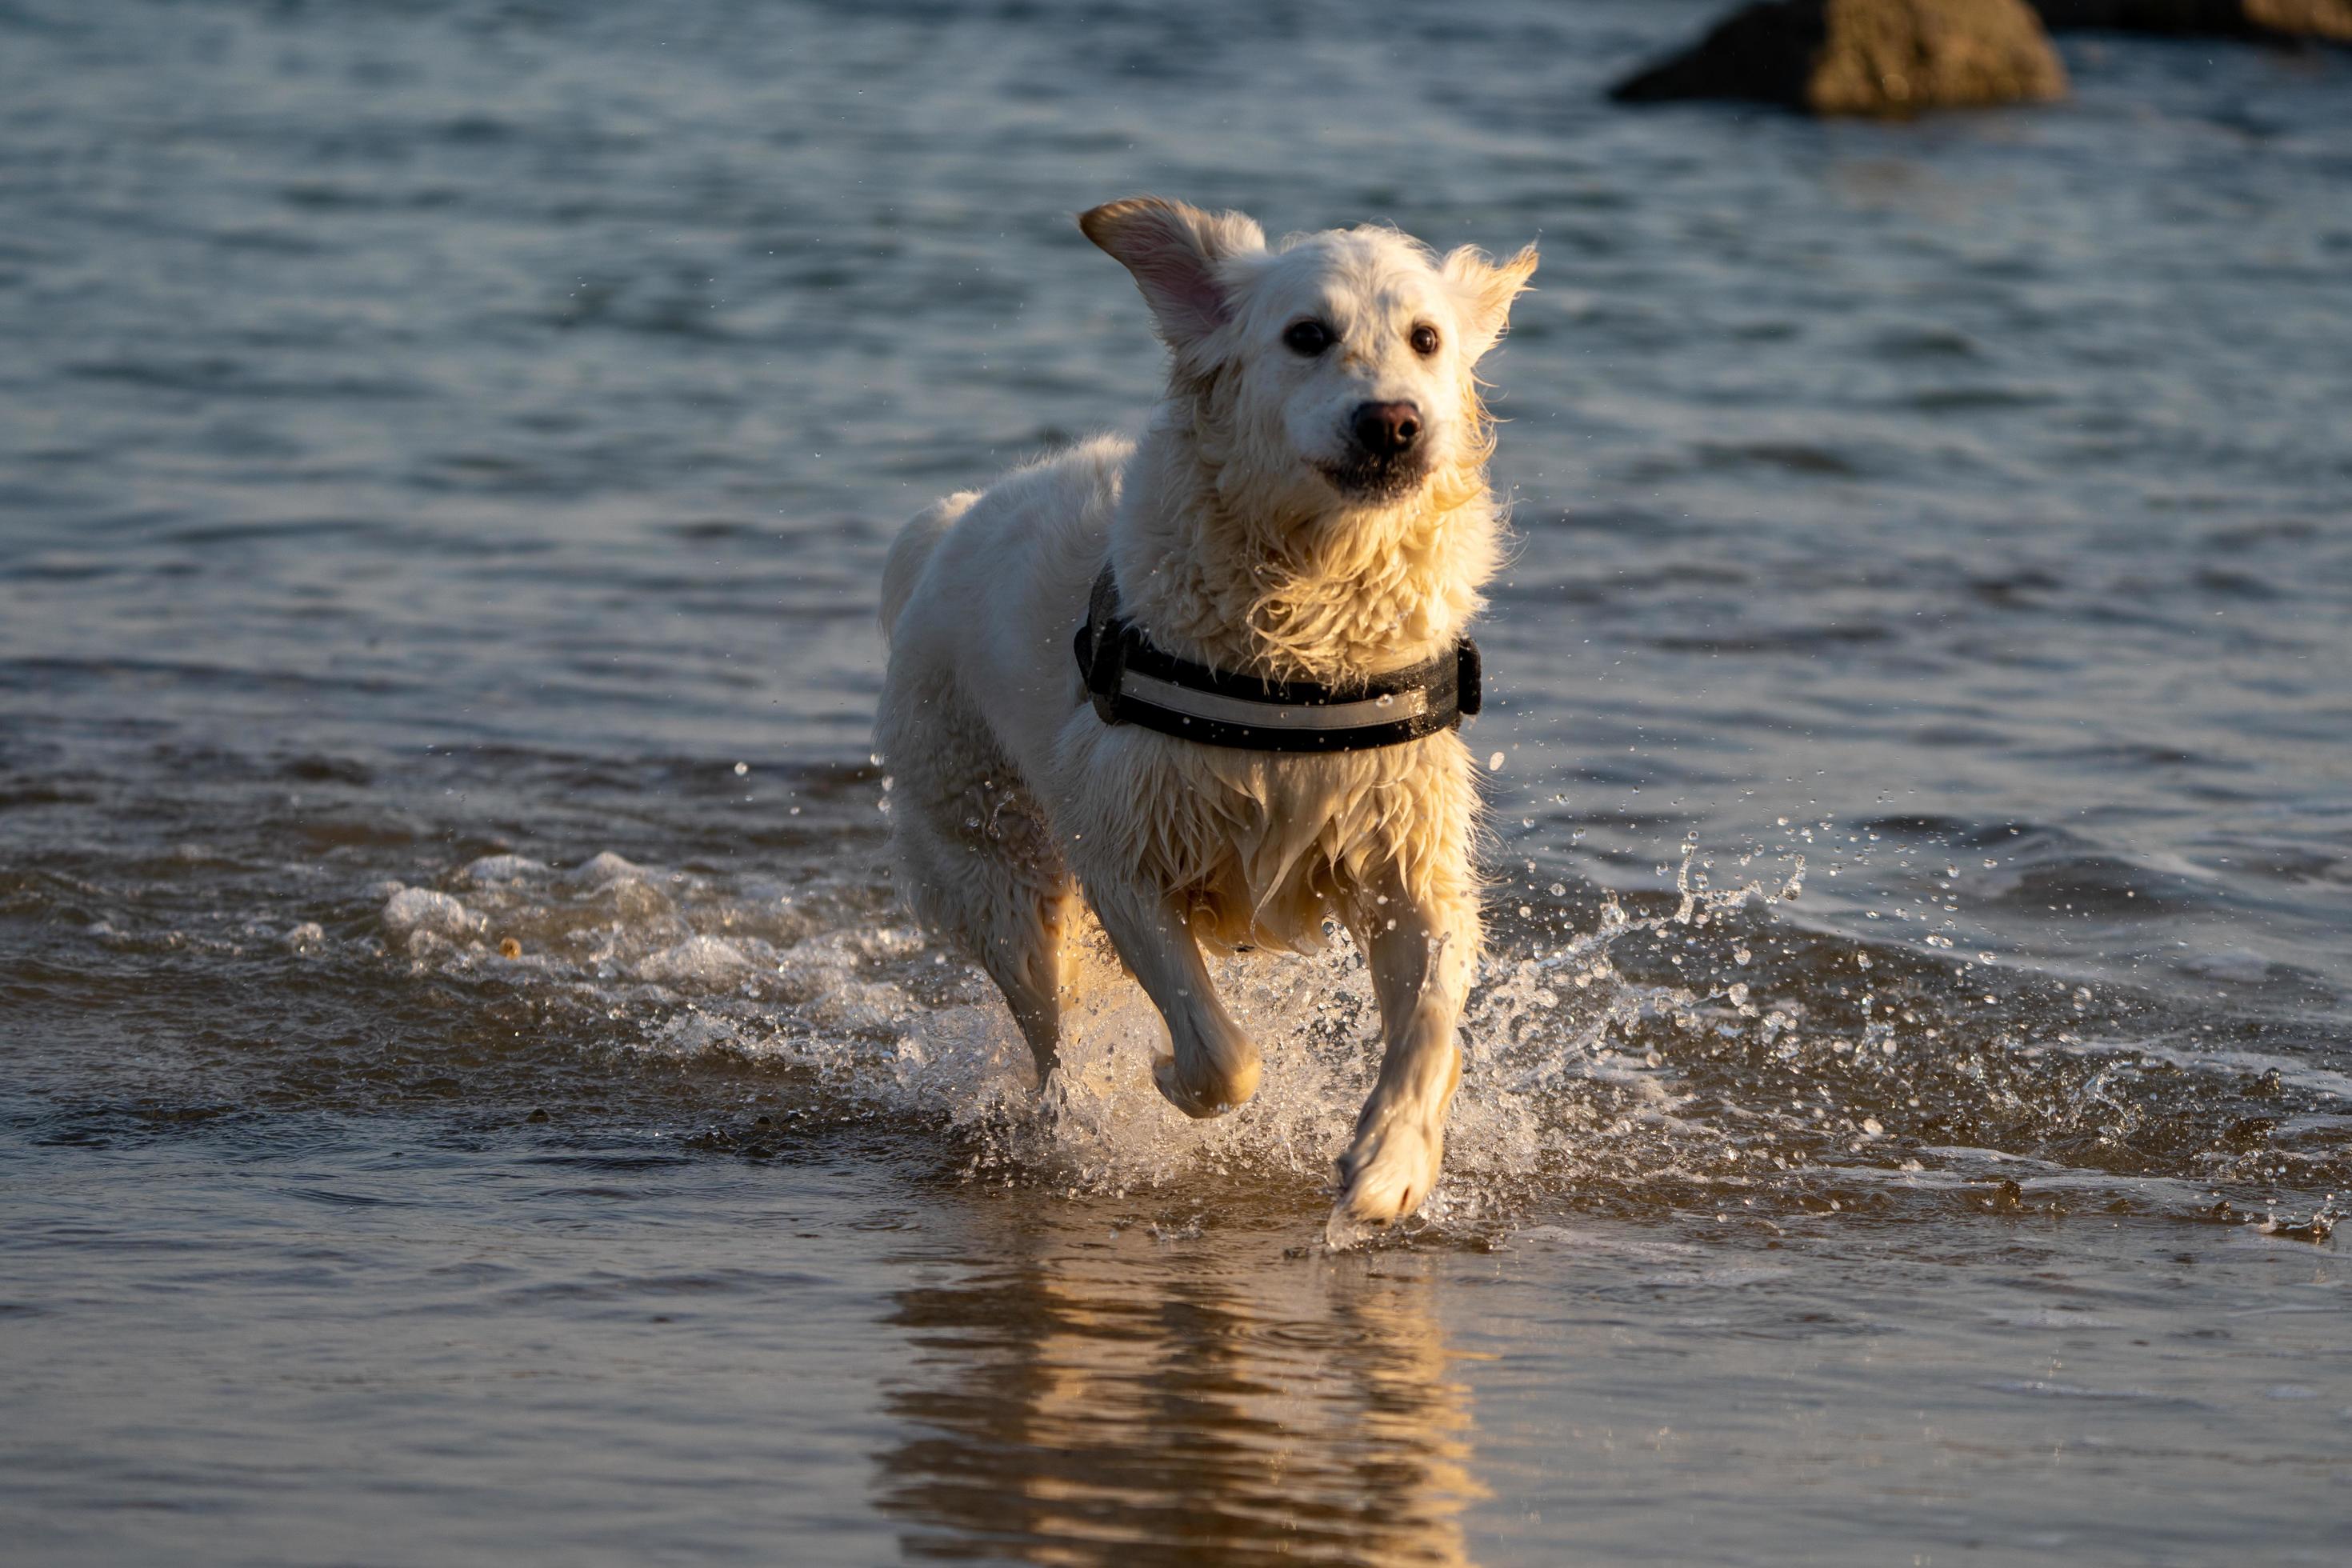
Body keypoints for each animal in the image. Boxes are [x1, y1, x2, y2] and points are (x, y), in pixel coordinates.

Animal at [874, 199, 1533, 1241]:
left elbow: (1432, 1020)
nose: (1394, 422)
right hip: (991, 862)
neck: (1307, 636)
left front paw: (1391, 1165)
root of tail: (945, 528)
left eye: (1427, 340)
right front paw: (1164, 1081)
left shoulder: (1407, 848)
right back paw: (1069, 1117)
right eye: (1307, 336)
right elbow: (1224, 1054)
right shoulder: (1122, 847)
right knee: (1046, 1017)